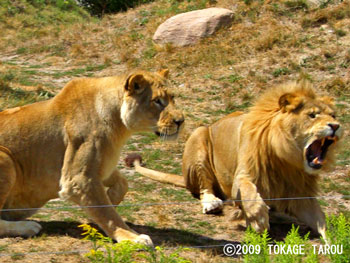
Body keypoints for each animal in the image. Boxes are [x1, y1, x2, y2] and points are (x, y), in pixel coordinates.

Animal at [0, 69, 185, 246]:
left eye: (173, 97)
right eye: (157, 101)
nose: (181, 121)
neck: (119, 125)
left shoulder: (103, 166)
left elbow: (121, 186)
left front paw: (106, 205)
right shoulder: (79, 178)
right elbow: (109, 215)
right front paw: (133, 237)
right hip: (6, 157)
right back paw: (28, 227)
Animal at [126, 81, 342, 242]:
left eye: (333, 115)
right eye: (312, 115)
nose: (336, 126)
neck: (286, 160)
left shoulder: (300, 193)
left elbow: (322, 220)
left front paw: (338, 238)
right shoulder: (242, 177)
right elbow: (249, 192)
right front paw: (258, 219)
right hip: (199, 137)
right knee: (205, 187)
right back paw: (213, 203)